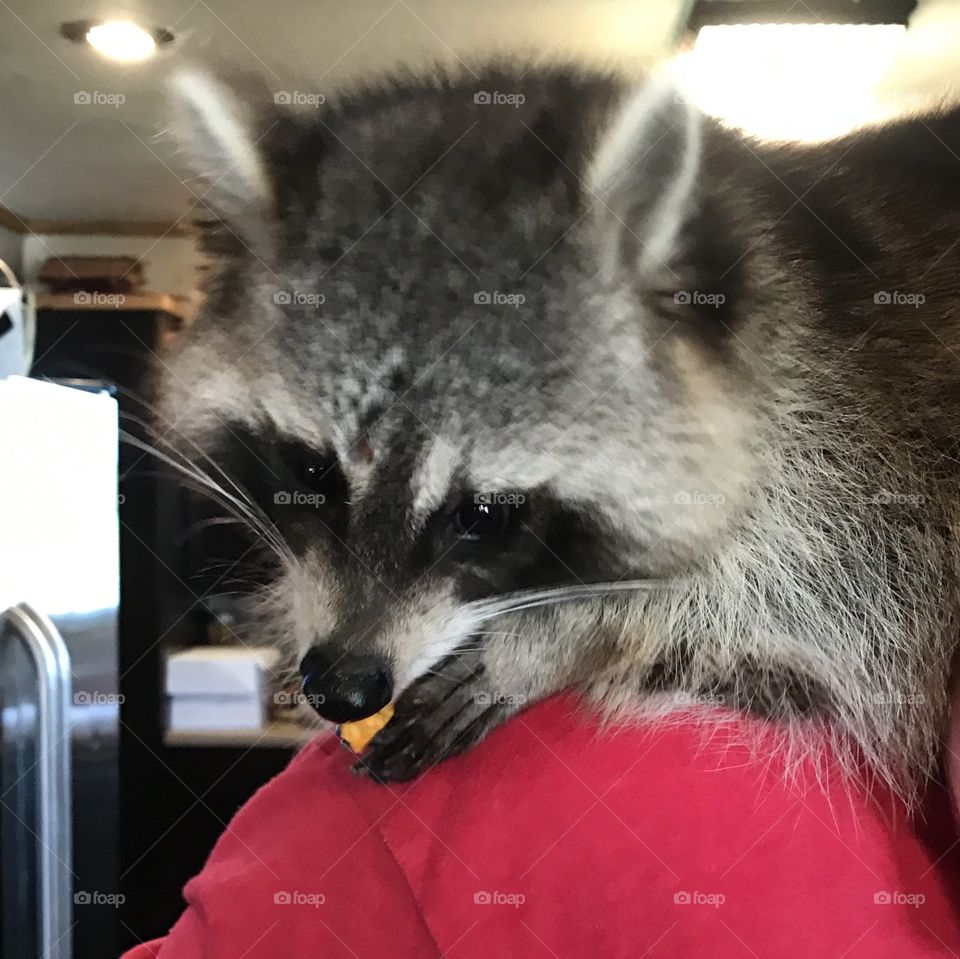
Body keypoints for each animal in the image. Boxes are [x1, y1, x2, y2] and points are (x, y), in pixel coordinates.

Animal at [159, 63, 960, 798]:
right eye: (313, 471)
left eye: (484, 514)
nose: (341, 686)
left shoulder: (861, 474)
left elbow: (779, 601)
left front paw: (552, 641)